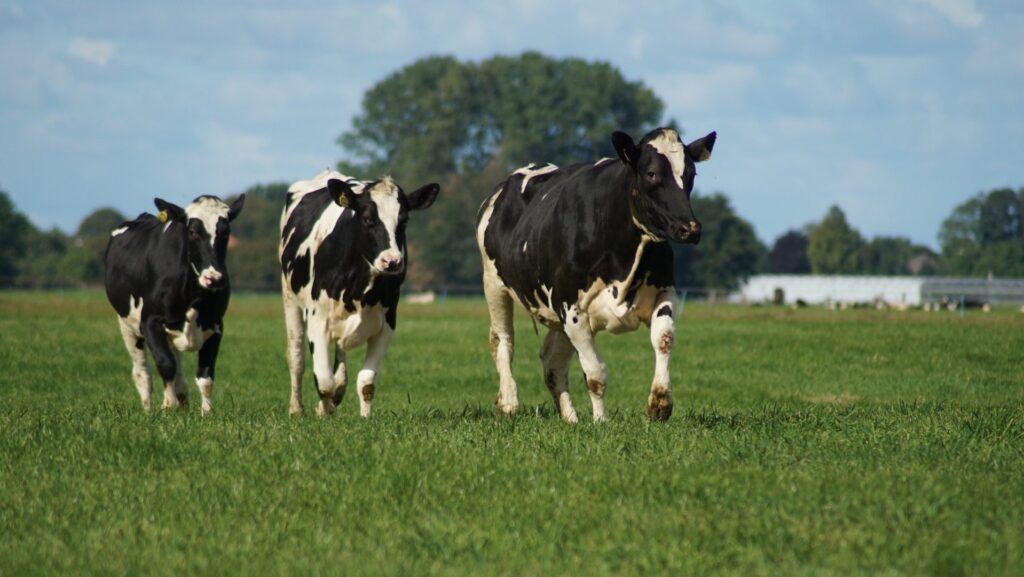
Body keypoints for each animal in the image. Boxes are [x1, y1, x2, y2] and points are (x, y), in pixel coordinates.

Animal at [104, 196, 245, 414]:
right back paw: (148, 409)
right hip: (127, 325)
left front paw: (207, 412)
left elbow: (205, 374)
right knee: (142, 372)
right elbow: (165, 363)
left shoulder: (216, 324)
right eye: (193, 232)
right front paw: (168, 405)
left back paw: (182, 397)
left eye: (225, 232)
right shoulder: (150, 322)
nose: (214, 278)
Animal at [280, 169, 440, 418]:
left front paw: (364, 417)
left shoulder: (387, 324)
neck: (360, 288)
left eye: (404, 220)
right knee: (296, 356)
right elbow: (323, 380)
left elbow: (366, 382)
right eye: (367, 219)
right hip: (290, 299)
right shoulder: (317, 319)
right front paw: (323, 411)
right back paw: (297, 408)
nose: (392, 261)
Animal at [475, 127, 716, 424]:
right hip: (494, 284)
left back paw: (570, 418)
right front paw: (601, 422)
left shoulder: (664, 291)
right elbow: (595, 375)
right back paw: (509, 403)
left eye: (691, 173)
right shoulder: (572, 310)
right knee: (502, 341)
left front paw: (660, 402)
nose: (690, 228)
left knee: (552, 360)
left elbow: (664, 338)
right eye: (651, 174)